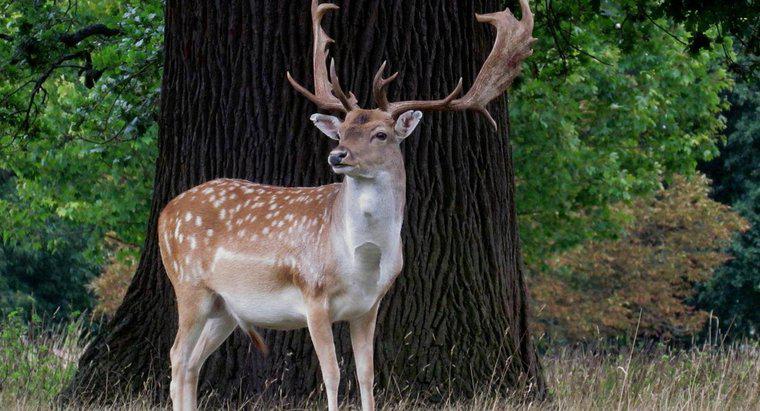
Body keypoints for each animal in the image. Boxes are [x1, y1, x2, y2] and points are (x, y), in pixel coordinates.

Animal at [156, 0, 536, 410]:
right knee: (176, 356)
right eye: (341, 131)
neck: (362, 260)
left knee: (192, 363)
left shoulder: (369, 307)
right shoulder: (313, 295)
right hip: (189, 285)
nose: (337, 155)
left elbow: (367, 375)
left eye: (381, 134)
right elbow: (333, 375)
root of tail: (164, 212)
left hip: (225, 307)